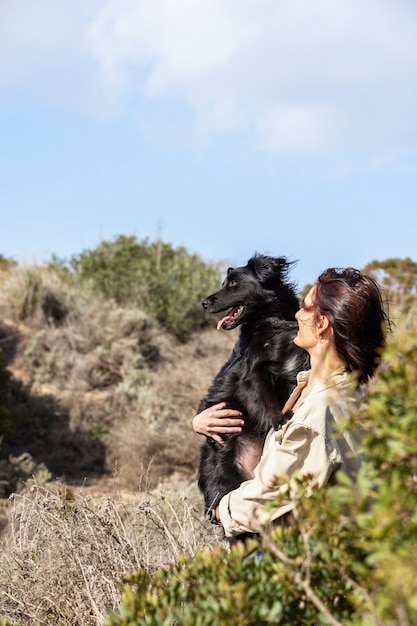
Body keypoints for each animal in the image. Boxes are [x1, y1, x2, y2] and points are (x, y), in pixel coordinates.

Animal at [196, 251, 308, 520]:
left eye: (234, 284)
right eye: (225, 283)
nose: (203, 303)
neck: (271, 322)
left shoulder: (297, 365)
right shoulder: (253, 373)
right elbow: (266, 400)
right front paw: (279, 419)